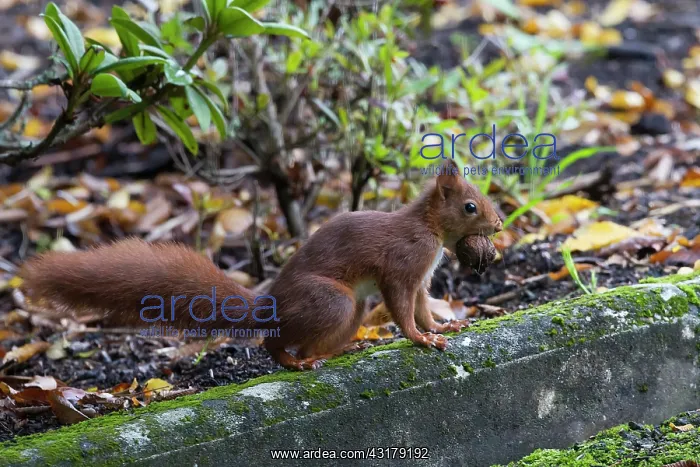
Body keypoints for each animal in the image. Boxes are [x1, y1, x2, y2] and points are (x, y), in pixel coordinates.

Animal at [19, 160, 502, 370]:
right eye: (470, 206)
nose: (499, 223)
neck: (428, 228)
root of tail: (270, 305)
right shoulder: (403, 266)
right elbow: (403, 309)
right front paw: (422, 339)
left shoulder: (421, 278)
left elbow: (422, 305)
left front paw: (444, 326)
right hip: (334, 302)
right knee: (274, 342)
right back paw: (296, 362)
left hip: (349, 312)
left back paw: (335, 351)